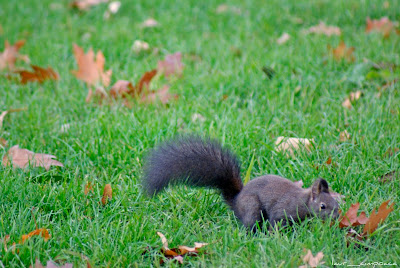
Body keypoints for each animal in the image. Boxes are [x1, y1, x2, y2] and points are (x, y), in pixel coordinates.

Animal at [142, 136, 340, 230]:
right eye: (322, 206)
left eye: (336, 203)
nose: (337, 217)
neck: (302, 200)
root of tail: (236, 201)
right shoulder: (282, 211)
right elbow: (276, 223)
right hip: (252, 207)